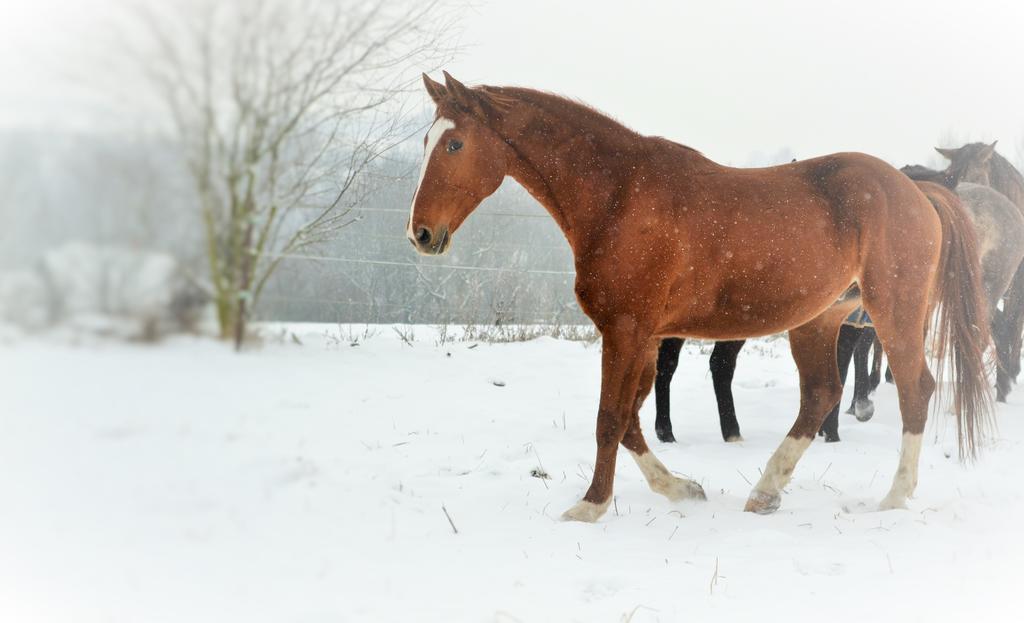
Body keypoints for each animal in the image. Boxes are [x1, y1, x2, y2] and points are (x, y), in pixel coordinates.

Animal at [407, 71, 991, 520]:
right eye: (427, 142)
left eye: (455, 144)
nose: (421, 234)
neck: (618, 194)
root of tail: (918, 191)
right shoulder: (643, 337)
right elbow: (631, 419)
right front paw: (681, 488)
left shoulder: (625, 330)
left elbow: (610, 418)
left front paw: (590, 506)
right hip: (821, 319)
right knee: (821, 394)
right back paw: (765, 492)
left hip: (894, 313)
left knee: (916, 389)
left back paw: (893, 498)